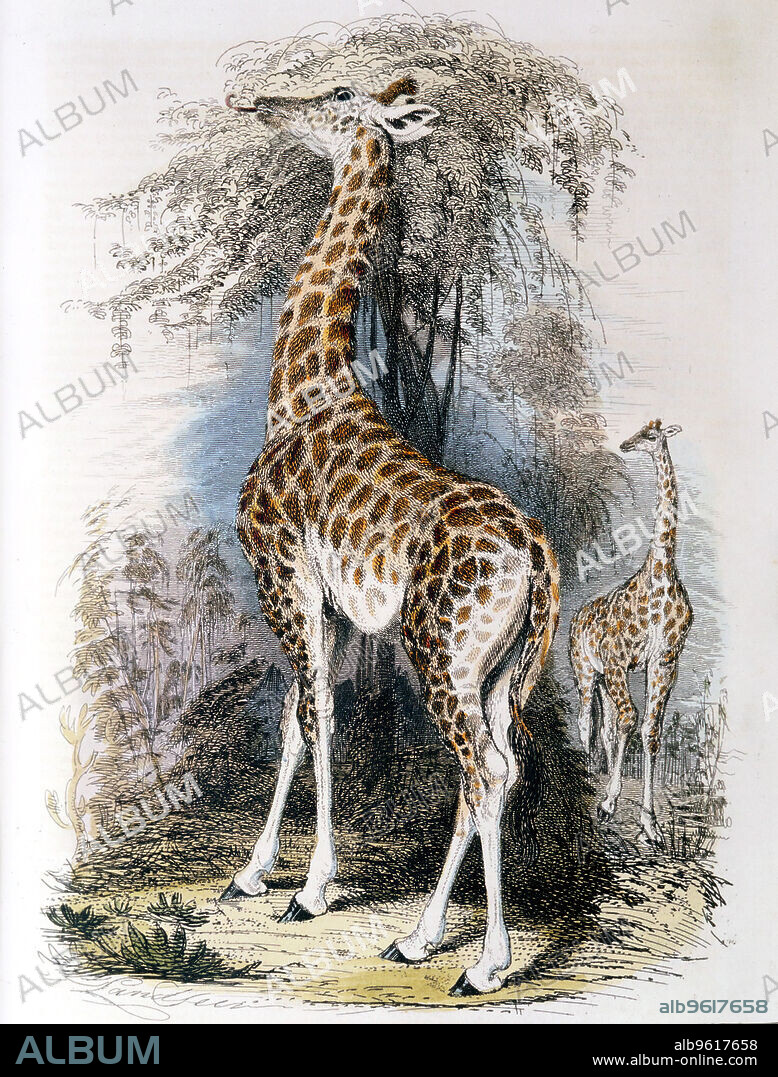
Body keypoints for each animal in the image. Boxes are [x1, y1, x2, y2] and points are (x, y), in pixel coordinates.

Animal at [217, 78, 561, 996]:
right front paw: (256, 872)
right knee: (499, 770)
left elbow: (315, 719)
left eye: (338, 94)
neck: (304, 389)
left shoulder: (284, 576)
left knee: (484, 771)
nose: (264, 103)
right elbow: (301, 720)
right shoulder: (332, 604)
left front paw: (308, 887)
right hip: (499, 668)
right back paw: (419, 936)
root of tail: (540, 555)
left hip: (441, 651)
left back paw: (483, 962)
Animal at [569, 419, 693, 844]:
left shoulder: (664, 661)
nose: (625, 444)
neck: (661, 574)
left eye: (652, 435)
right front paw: (608, 803)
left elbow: (649, 730)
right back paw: (591, 774)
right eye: (641, 432)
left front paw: (649, 822)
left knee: (606, 726)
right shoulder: (618, 660)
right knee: (587, 722)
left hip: (605, 680)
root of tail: (576, 617)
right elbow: (628, 722)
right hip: (586, 672)